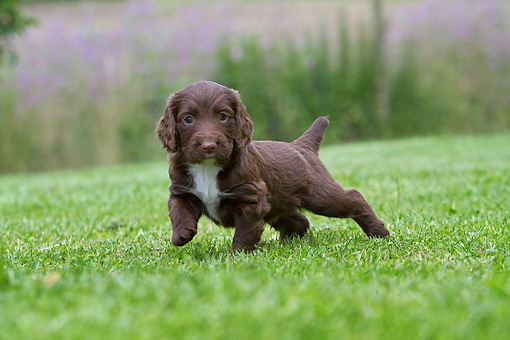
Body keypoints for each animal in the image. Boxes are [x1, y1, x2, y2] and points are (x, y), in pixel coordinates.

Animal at [157, 79, 388, 250]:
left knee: (353, 197)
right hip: (280, 203)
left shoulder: (251, 197)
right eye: (188, 119)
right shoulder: (182, 190)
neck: (207, 167)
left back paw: (379, 233)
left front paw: (238, 255)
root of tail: (301, 144)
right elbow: (178, 210)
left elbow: (245, 230)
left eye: (223, 116)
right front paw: (181, 235)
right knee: (299, 220)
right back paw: (289, 242)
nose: (208, 146)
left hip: (320, 196)